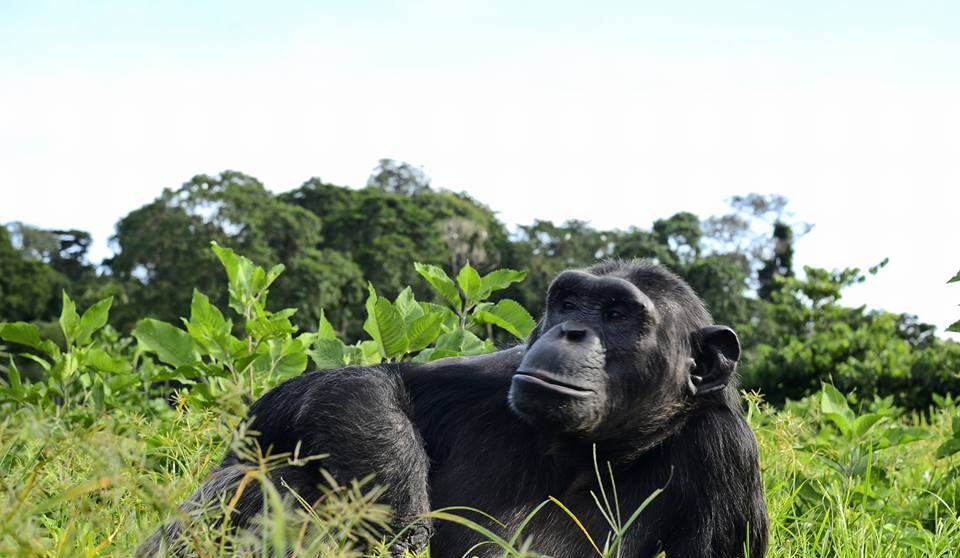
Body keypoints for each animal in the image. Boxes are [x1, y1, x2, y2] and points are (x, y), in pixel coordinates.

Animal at [139, 260, 768, 556]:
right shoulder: (491, 374)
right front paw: (396, 500)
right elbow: (352, 385)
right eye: (569, 302)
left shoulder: (728, 455)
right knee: (273, 469)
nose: (568, 331)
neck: (585, 449)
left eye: (616, 314)